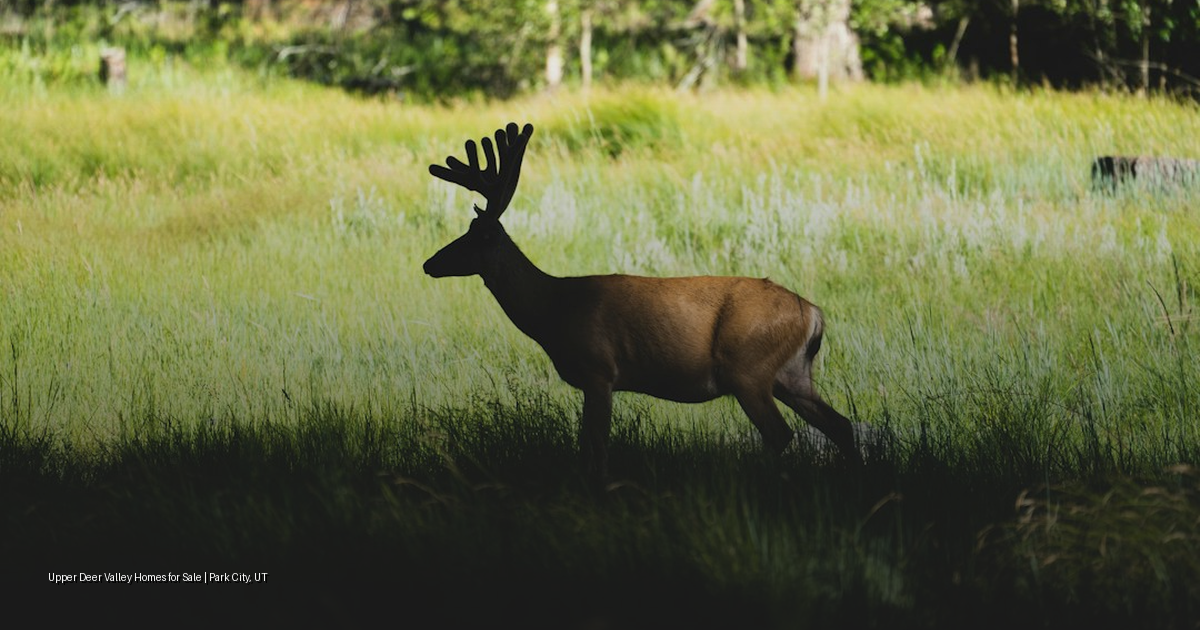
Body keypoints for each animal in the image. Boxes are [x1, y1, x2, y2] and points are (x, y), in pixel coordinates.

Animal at [423, 122, 861, 478]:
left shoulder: (599, 370)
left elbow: (596, 448)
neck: (553, 309)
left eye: (472, 237)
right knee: (841, 424)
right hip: (792, 374)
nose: (429, 263)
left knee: (781, 434)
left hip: (749, 367)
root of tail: (814, 313)